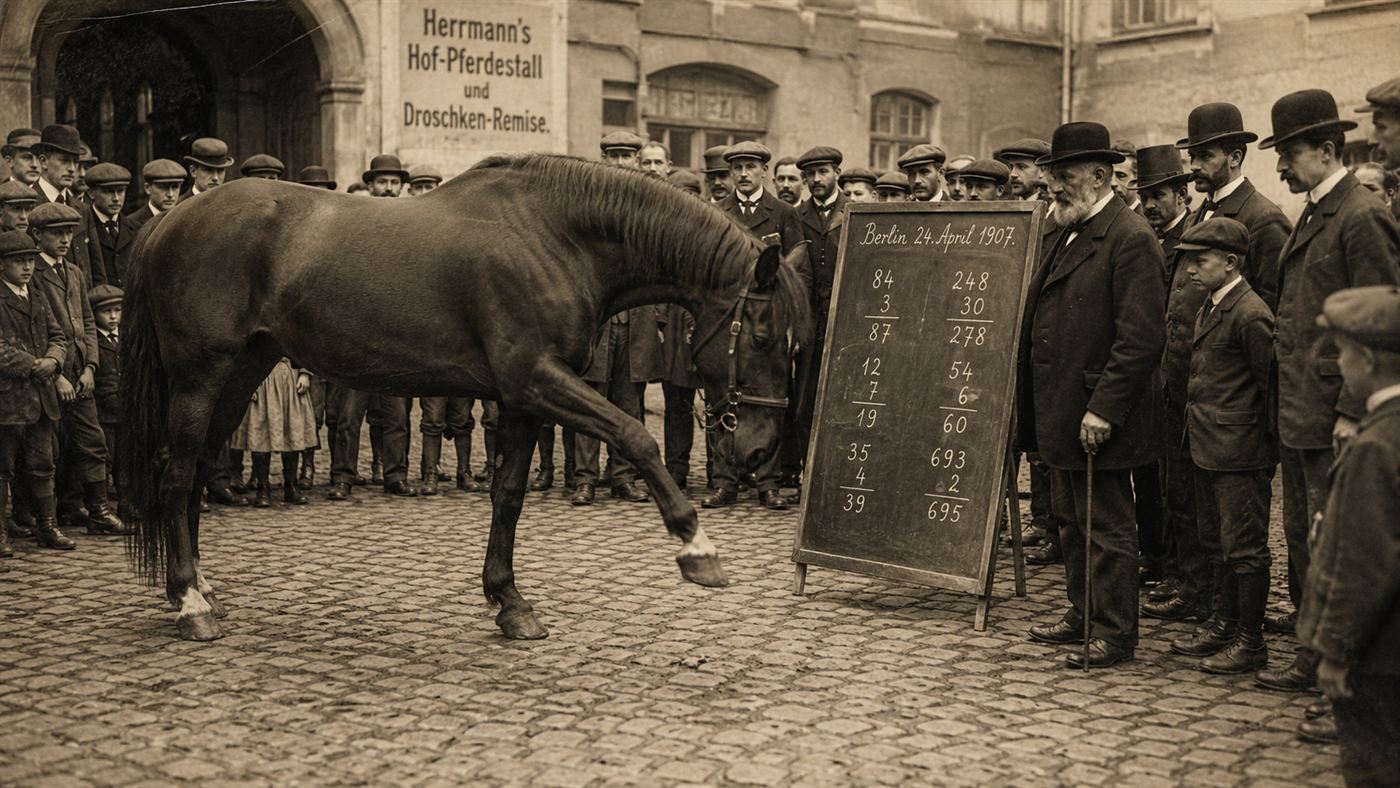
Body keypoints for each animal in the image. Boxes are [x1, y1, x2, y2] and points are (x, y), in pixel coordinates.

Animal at [120, 154, 812, 642]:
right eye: (760, 335)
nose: (760, 452)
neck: (554, 238)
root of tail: (169, 220)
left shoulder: (523, 399)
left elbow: (508, 495)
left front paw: (509, 601)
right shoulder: (537, 379)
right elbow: (636, 435)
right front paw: (697, 547)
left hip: (241, 373)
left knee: (197, 469)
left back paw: (199, 588)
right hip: (200, 377)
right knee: (176, 472)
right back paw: (189, 603)